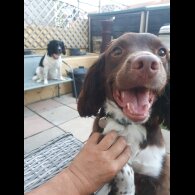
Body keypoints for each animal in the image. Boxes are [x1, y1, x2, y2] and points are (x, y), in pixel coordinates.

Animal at [77, 32, 169, 194]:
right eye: (117, 50)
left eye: (162, 52)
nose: (147, 63)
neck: (129, 124)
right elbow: (125, 167)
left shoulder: (158, 177)